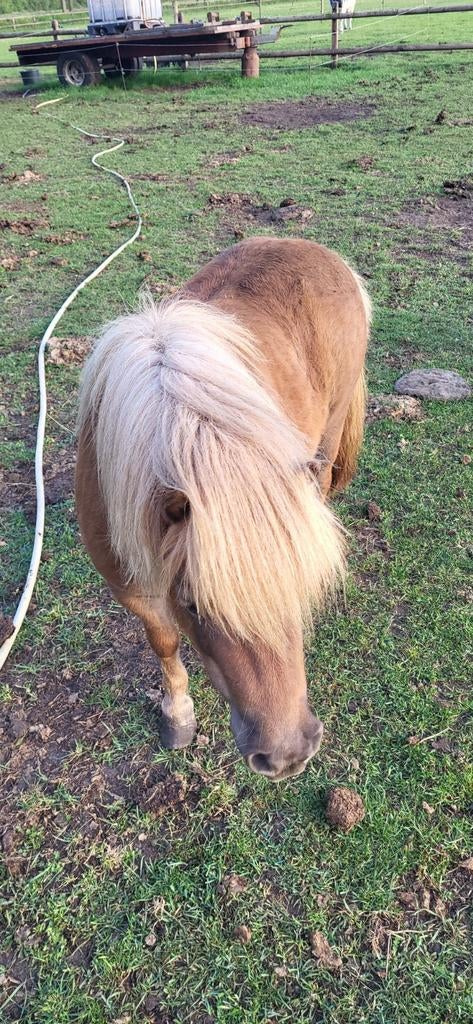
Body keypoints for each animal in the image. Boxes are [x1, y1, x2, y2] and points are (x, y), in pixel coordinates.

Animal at [76, 237, 370, 781]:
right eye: (193, 605)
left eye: (298, 585)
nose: (287, 754)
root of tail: (321, 252)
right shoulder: (132, 587)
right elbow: (164, 641)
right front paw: (178, 716)